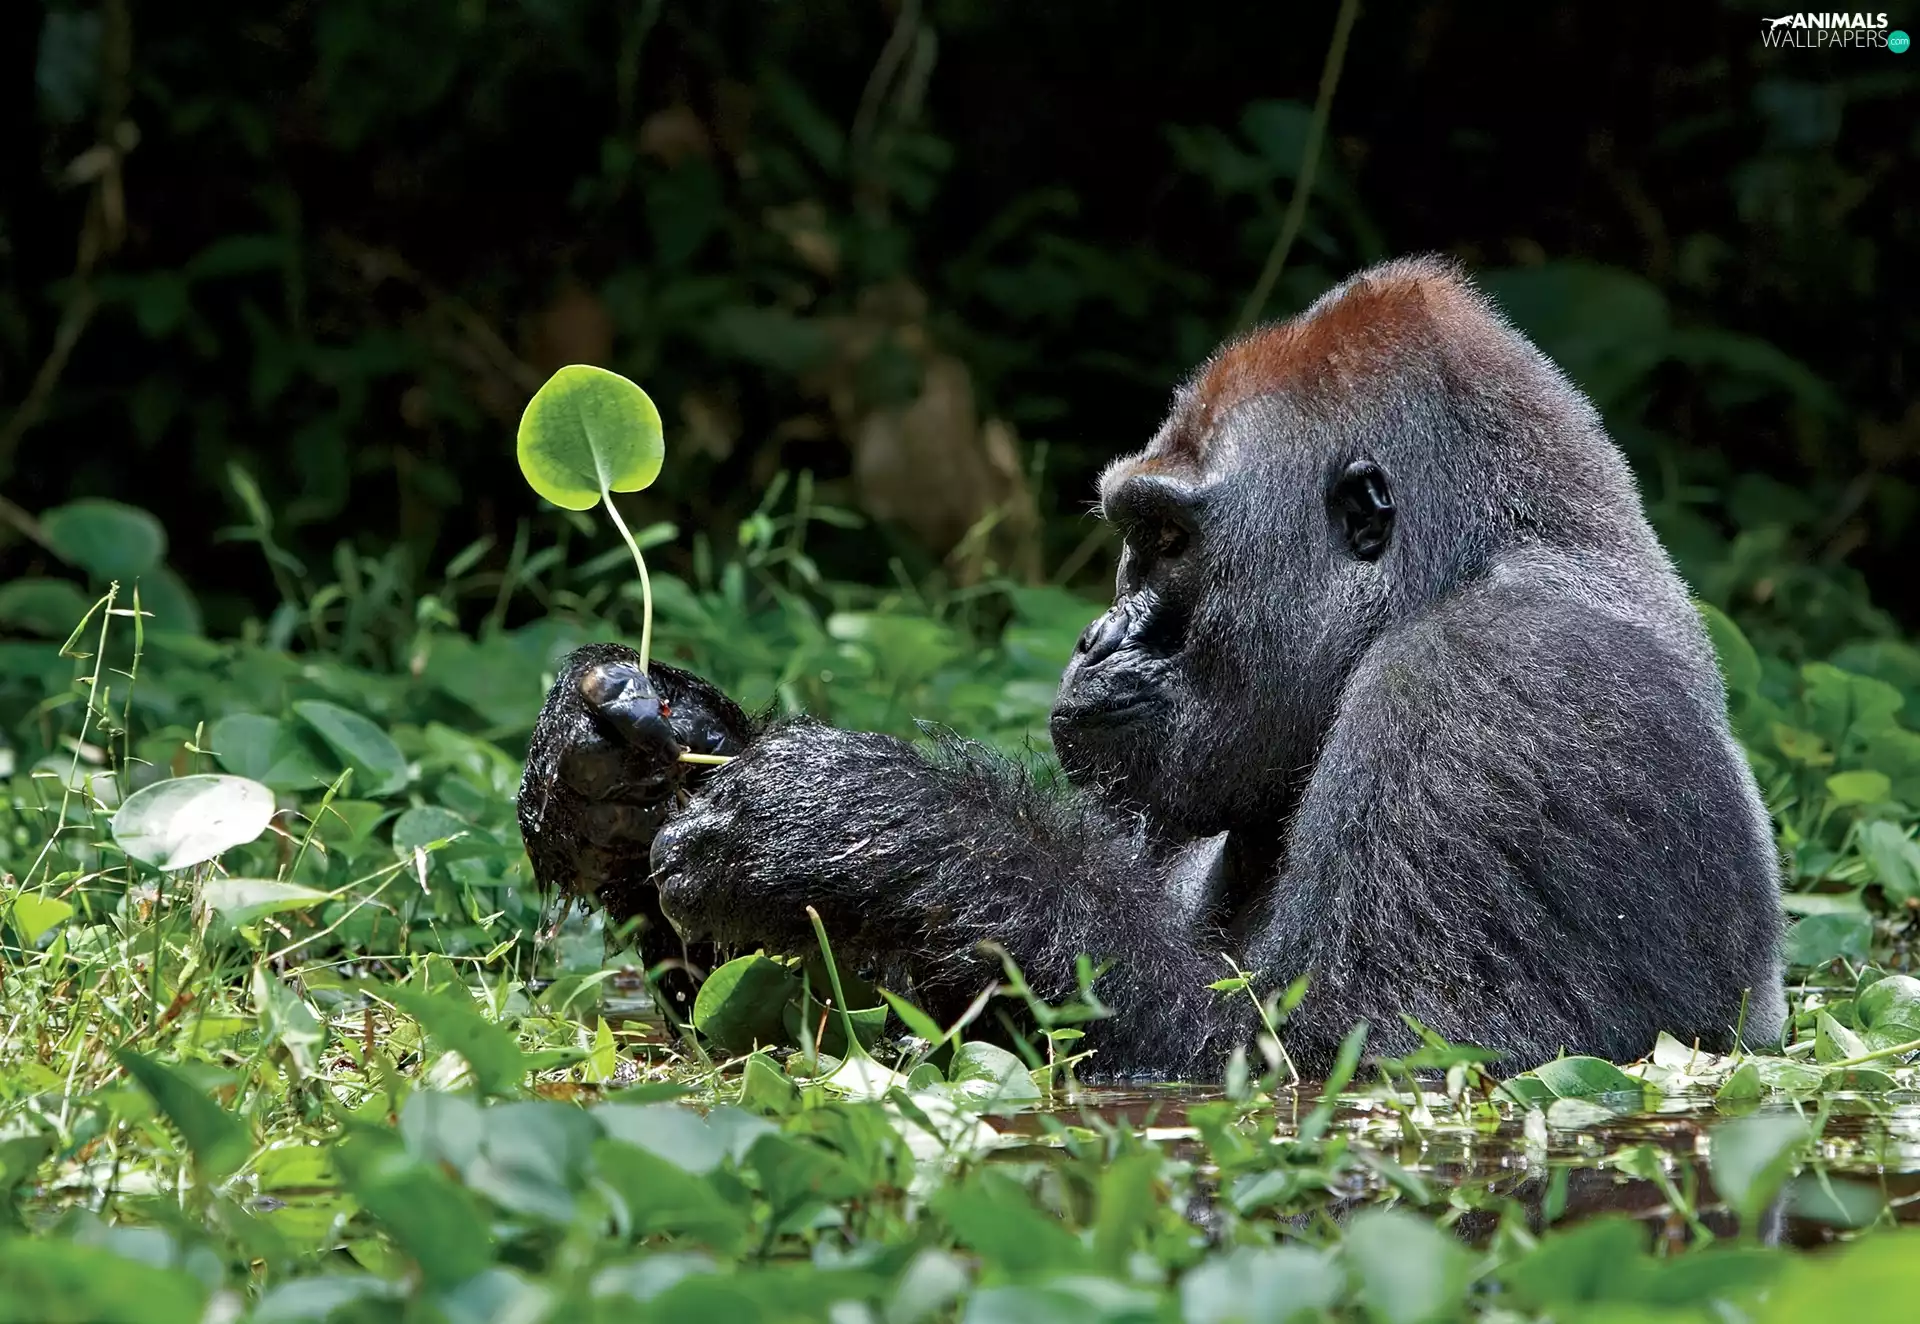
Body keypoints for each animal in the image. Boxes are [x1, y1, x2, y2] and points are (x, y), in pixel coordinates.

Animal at [517, 256, 1786, 1078]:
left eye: (1170, 541)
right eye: (1136, 534)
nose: (1097, 634)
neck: (1467, 563)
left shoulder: (1503, 686)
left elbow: (1350, 1054)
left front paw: (864, 825)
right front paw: (619, 768)